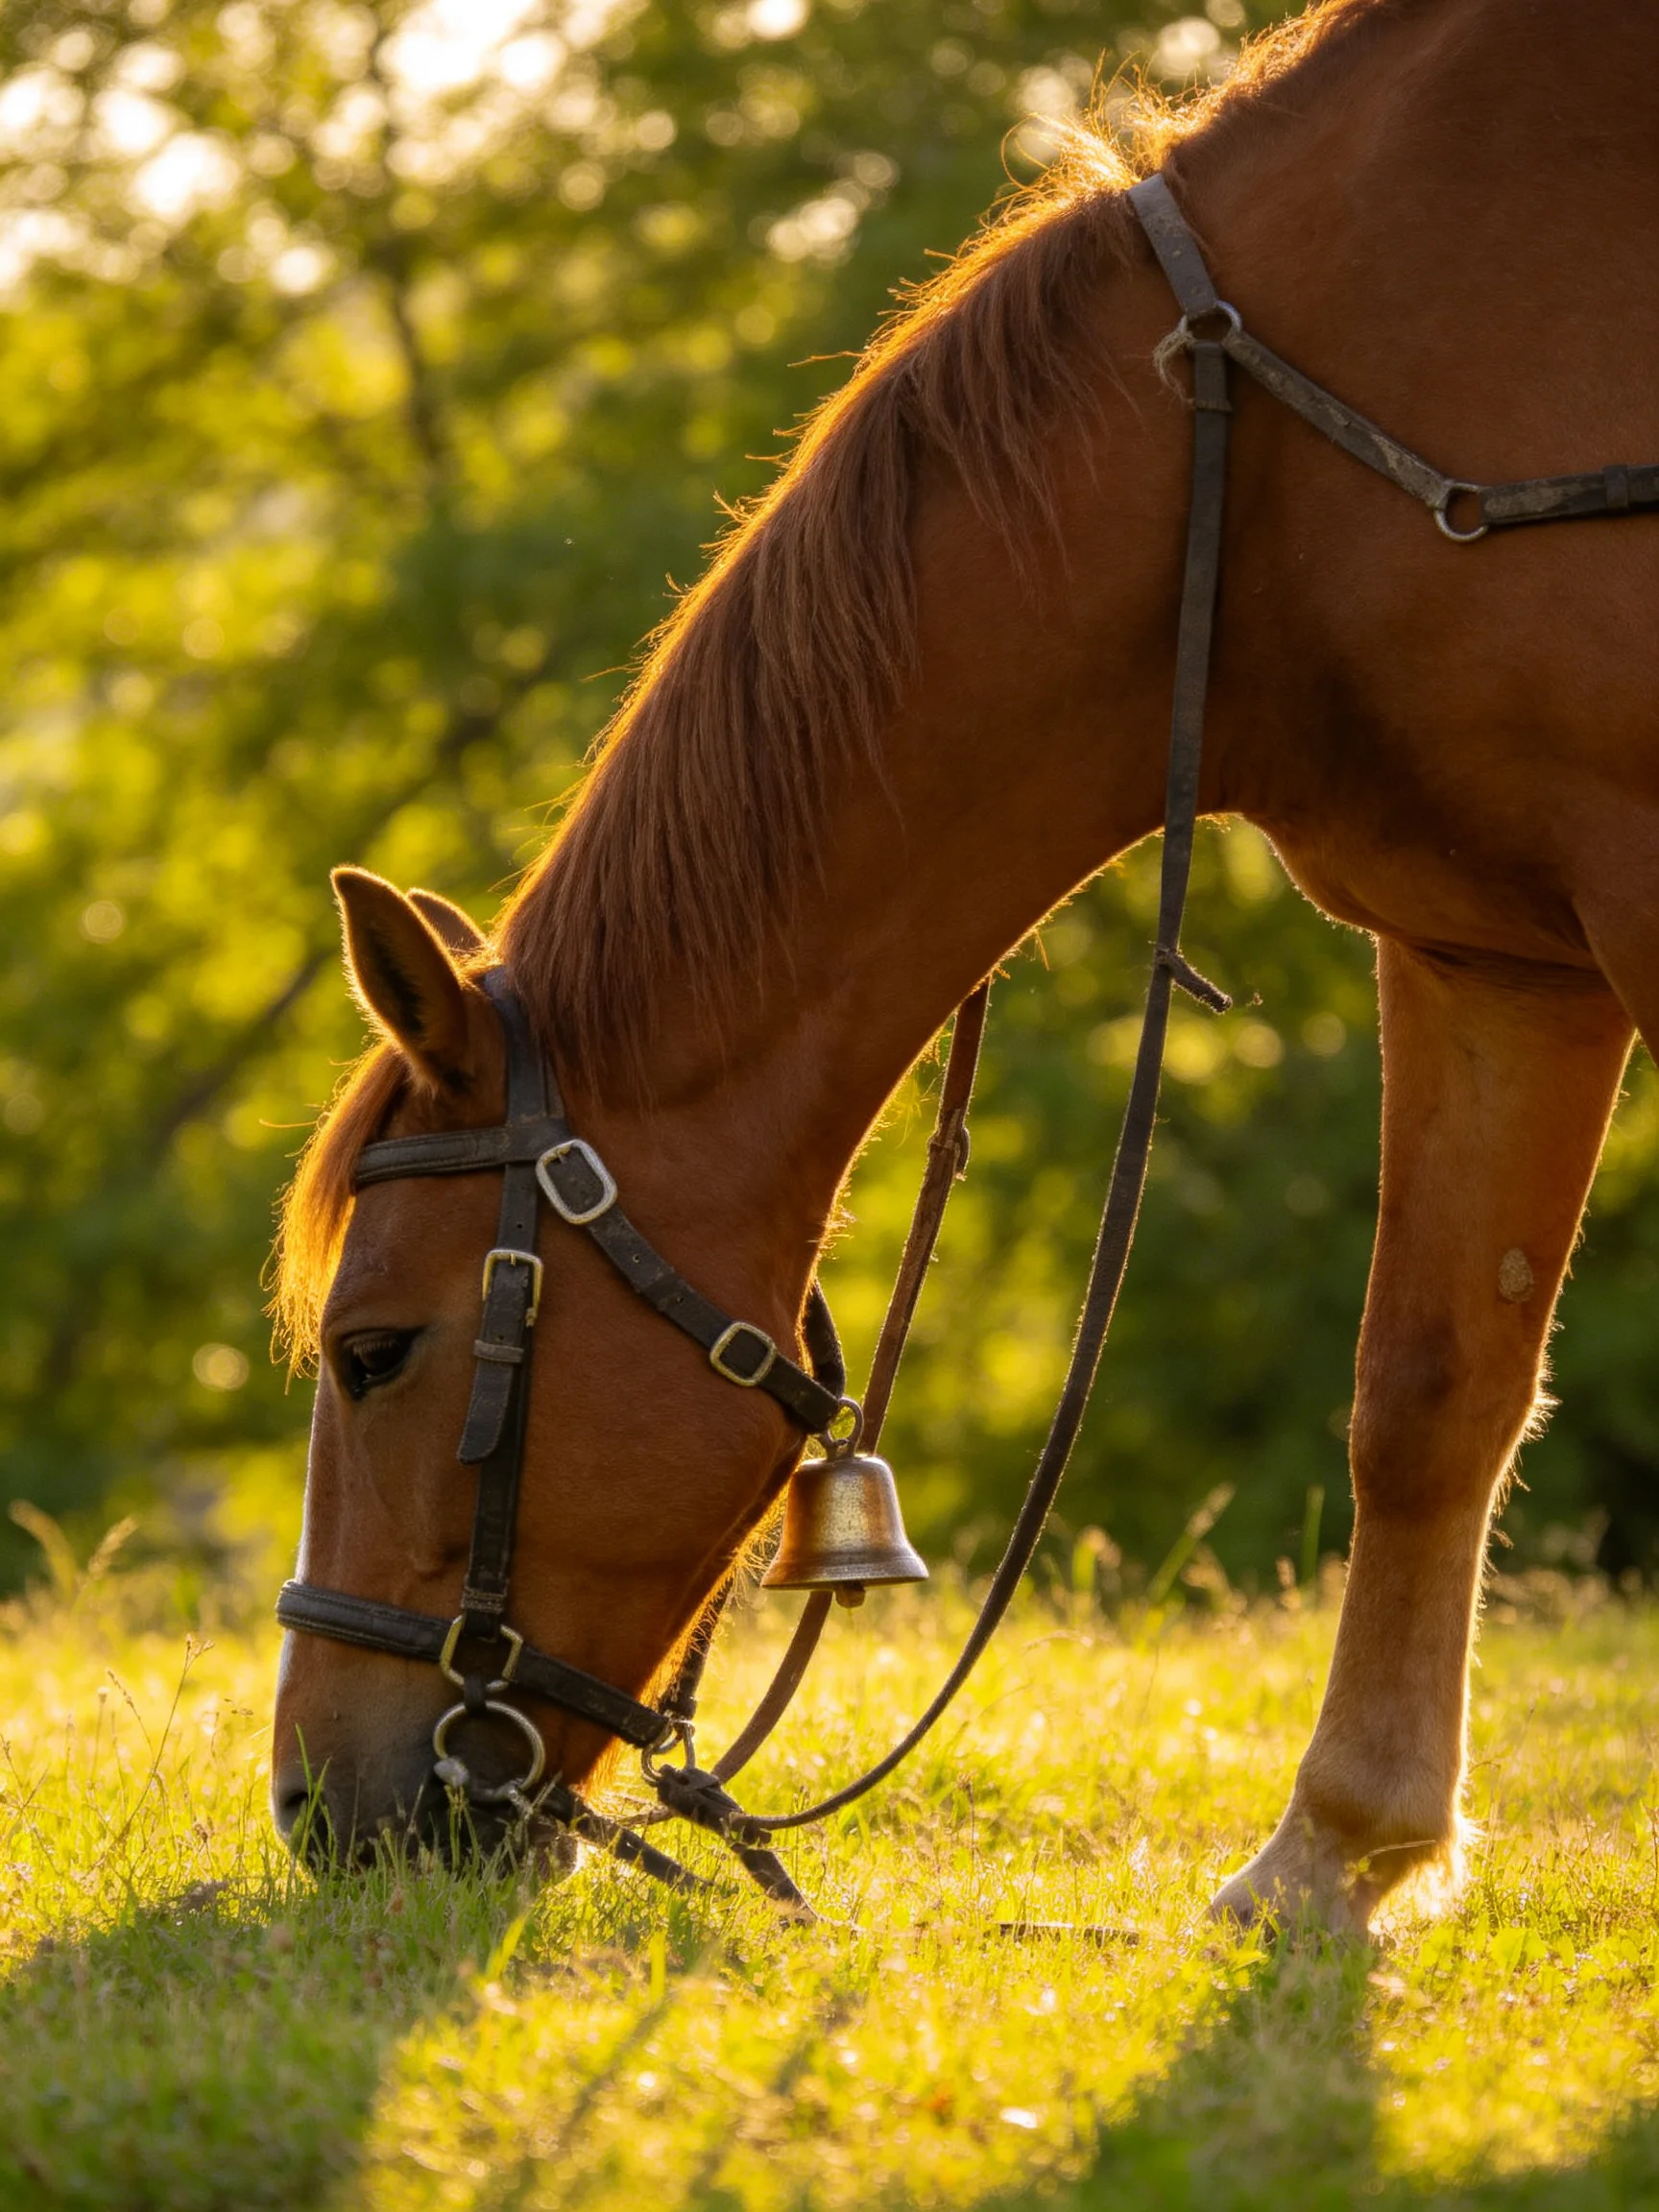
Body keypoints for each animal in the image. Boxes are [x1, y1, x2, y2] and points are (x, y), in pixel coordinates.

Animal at [269, 0, 1659, 1931]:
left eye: (375, 1351)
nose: (316, 1811)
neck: (1269, 446)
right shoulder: (1490, 959)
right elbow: (1427, 1391)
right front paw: (1337, 1847)